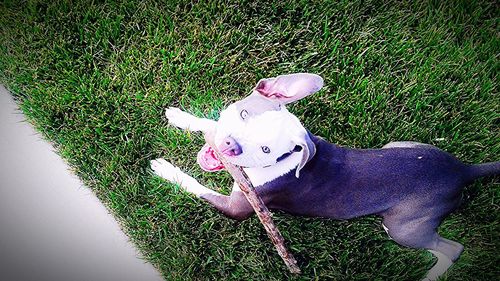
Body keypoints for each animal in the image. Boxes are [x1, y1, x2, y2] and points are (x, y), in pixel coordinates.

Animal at [150, 72, 498, 280]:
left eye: (266, 149)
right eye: (245, 113)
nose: (230, 146)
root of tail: (463, 170)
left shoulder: (240, 207)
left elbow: (199, 187)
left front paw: (165, 169)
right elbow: (207, 125)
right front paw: (181, 117)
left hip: (404, 227)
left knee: (452, 249)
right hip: (402, 145)